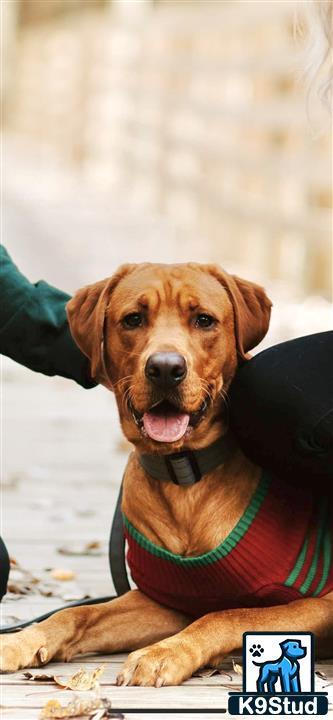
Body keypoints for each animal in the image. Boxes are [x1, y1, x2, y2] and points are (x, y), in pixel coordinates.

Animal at [0, 266, 332, 688]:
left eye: (204, 320)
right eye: (133, 319)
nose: (165, 369)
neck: (183, 473)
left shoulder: (321, 602)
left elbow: (229, 614)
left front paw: (166, 653)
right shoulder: (170, 602)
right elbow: (77, 613)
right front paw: (23, 640)